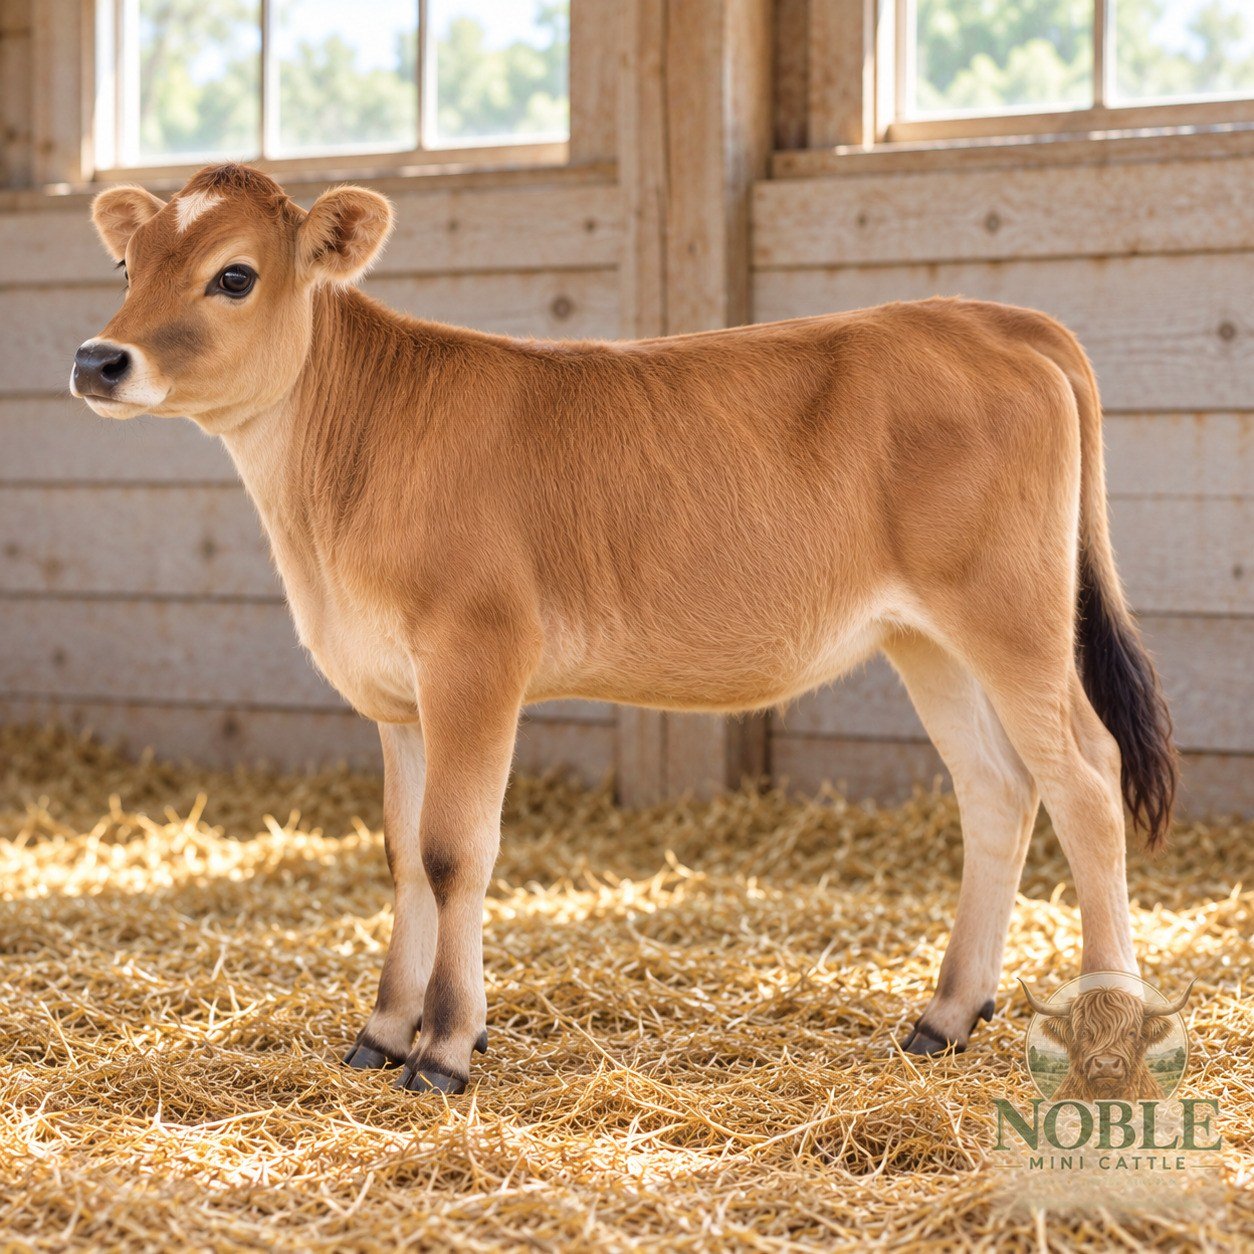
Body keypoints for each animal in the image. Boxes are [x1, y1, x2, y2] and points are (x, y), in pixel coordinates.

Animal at [70, 163, 1177, 1095]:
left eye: (234, 275)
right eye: (128, 263)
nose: (96, 356)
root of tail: (994, 316)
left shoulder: (476, 657)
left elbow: (453, 850)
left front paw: (444, 1047)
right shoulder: (392, 691)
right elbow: (401, 853)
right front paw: (382, 1031)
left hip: (1011, 612)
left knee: (1086, 777)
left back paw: (1108, 1028)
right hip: (927, 638)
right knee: (998, 790)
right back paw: (945, 1015)